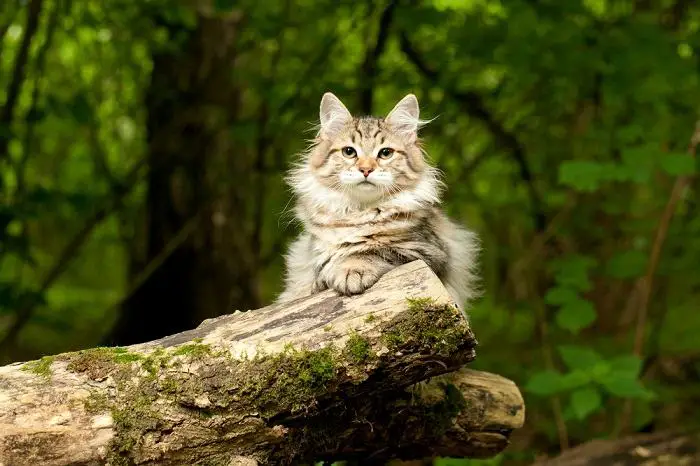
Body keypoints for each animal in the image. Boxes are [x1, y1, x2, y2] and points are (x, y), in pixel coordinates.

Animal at [276, 92, 478, 314]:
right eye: (349, 152)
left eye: (385, 153)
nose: (366, 169)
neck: (360, 212)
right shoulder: (313, 253)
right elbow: (323, 265)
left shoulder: (429, 251)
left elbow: (370, 251)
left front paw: (351, 270)